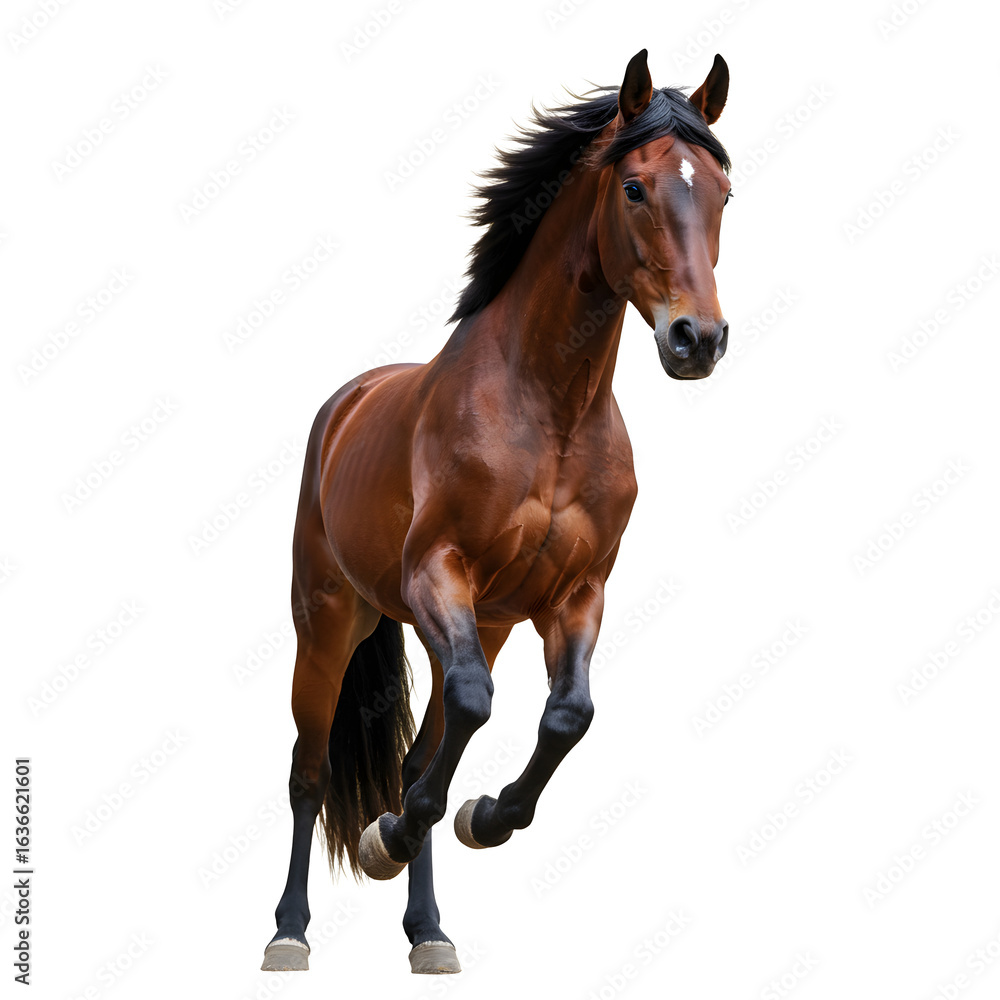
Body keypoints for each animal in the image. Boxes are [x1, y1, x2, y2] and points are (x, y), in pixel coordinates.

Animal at [262, 48, 732, 975]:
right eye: (634, 187)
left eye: (725, 192)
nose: (698, 340)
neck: (549, 412)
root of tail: (348, 402)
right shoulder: (437, 574)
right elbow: (475, 709)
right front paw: (388, 837)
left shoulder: (571, 598)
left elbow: (565, 716)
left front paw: (480, 818)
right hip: (330, 618)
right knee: (309, 772)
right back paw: (291, 930)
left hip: (482, 624)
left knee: (420, 752)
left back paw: (429, 932)